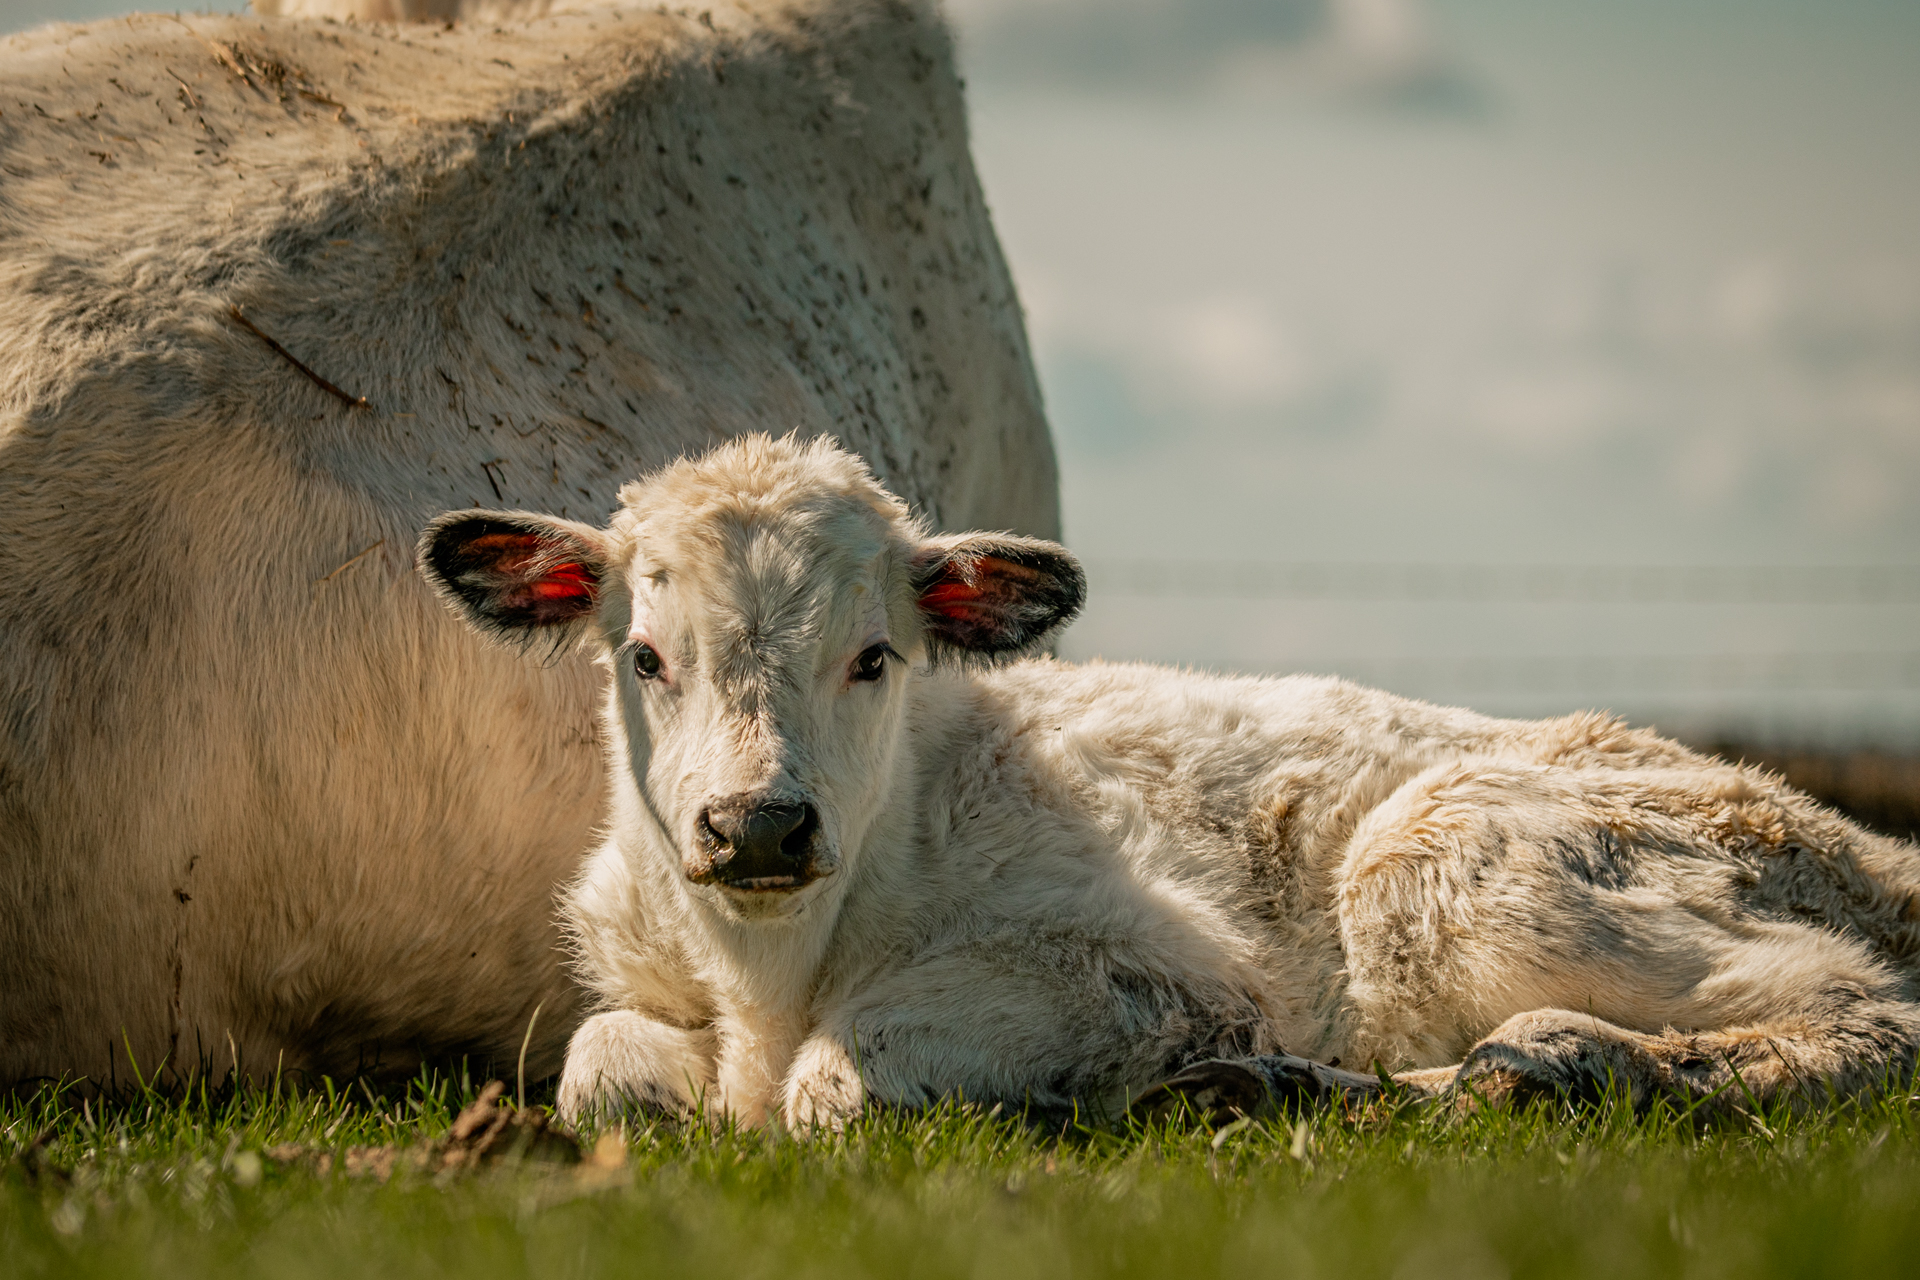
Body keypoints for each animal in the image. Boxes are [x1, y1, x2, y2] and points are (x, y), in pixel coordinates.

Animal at [420, 435, 1920, 1127]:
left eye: (873, 657)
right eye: (646, 654)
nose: (760, 824)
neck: (768, 975)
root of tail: (1873, 848)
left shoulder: (1153, 968)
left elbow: (839, 1080)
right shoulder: (639, 983)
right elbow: (601, 1068)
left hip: (1452, 855)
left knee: (1862, 1018)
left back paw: (1533, 1060)